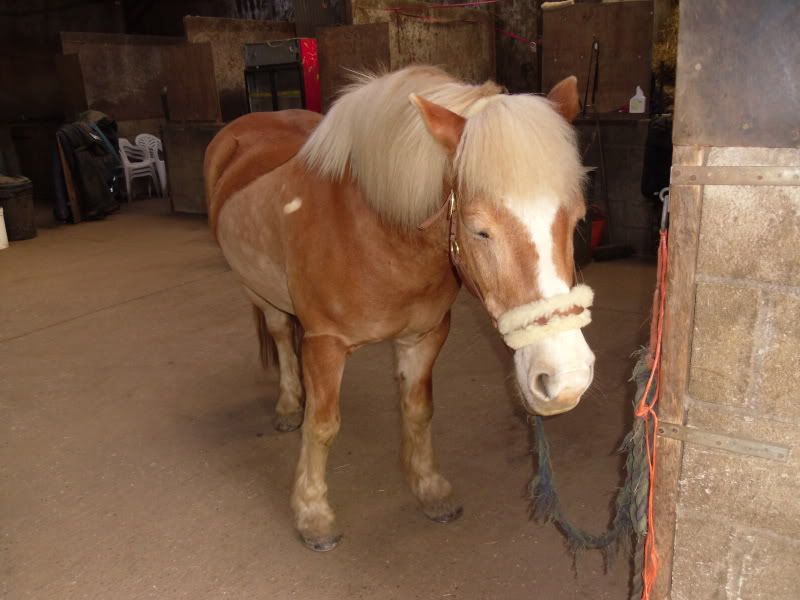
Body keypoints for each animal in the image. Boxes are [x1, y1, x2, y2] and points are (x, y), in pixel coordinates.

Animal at [204, 66, 595, 552]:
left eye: (577, 219)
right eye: (479, 230)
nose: (566, 380)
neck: (376, 235)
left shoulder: (425, 337)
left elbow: (418, 411)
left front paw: (430, 488)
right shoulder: (325, 343)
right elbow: (322, 425)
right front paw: (313, 513)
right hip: (258, 292)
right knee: (279, 336)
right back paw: (289, 405)